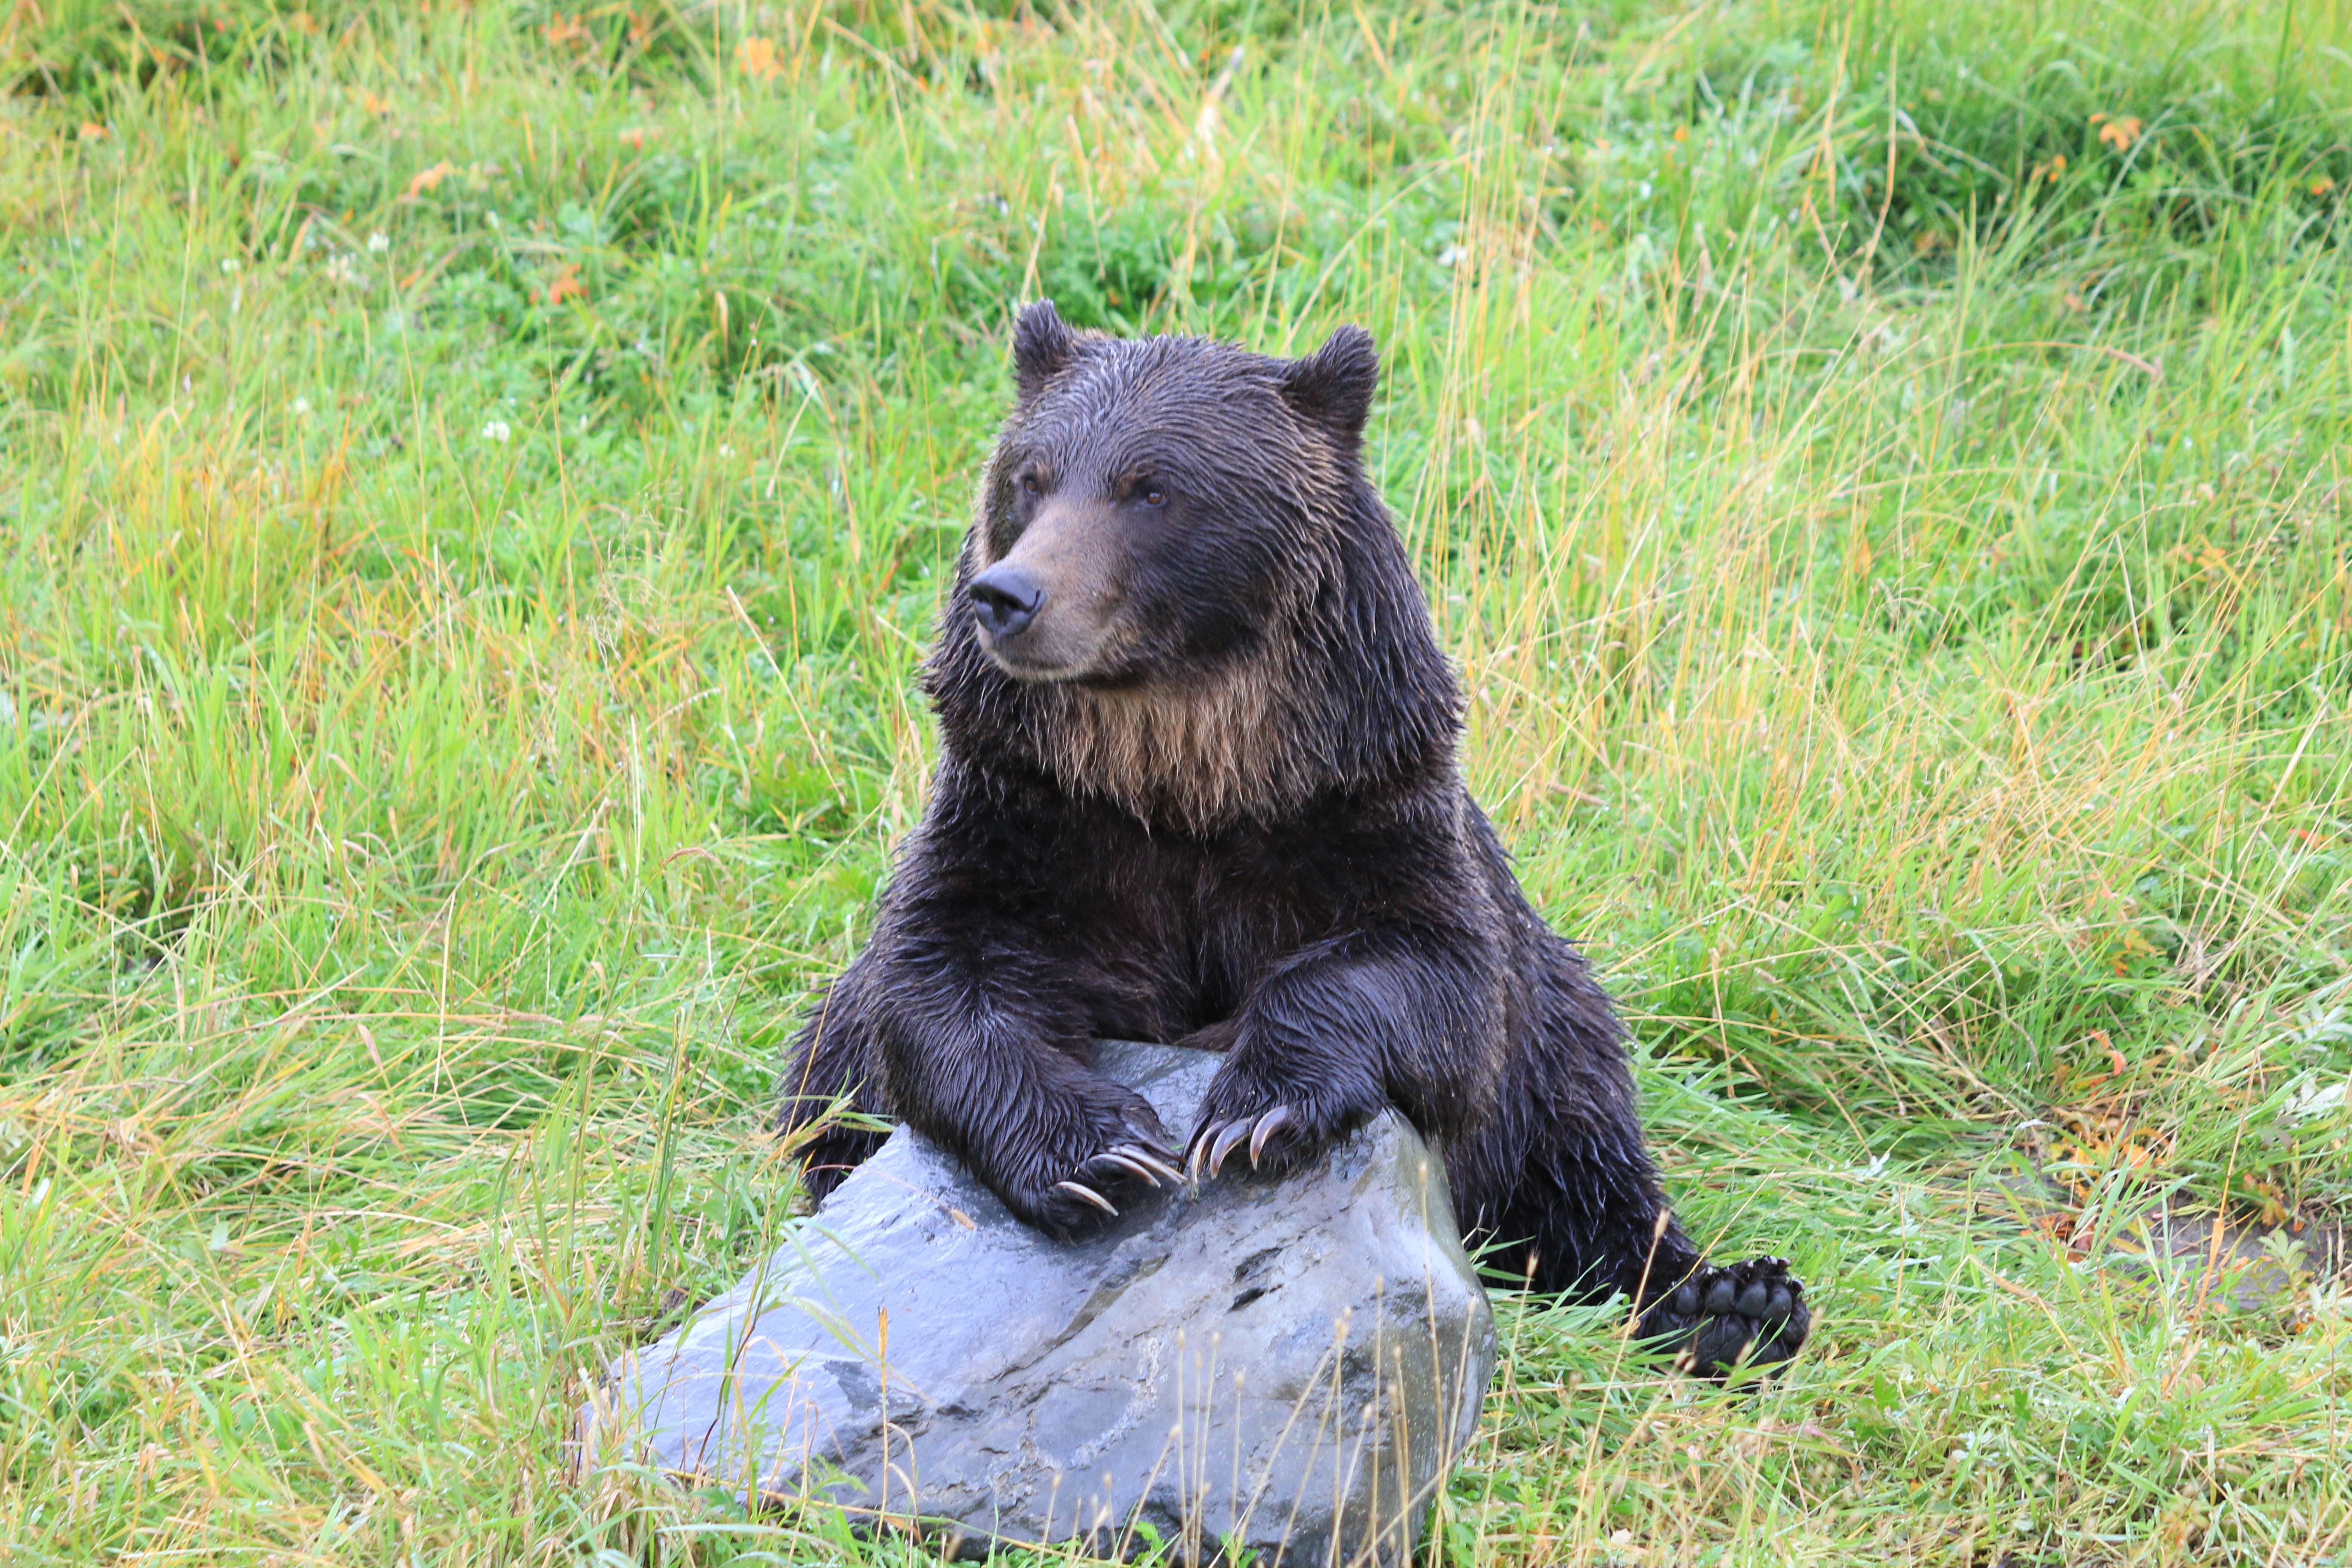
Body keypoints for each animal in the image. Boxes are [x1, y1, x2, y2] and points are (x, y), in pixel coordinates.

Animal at [775, 301, 1808, 1376]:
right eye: (1032, 476)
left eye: (1151, 486)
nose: (1011, 595)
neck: (1184, 777)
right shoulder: (1030, 816)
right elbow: (937, 983)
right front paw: (1103, 1155)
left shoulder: (1361, 806)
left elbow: (1428, 974)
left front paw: (1252, 1111)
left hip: (1559, 1024)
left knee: (1583, 1142)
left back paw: (1733, 1297)